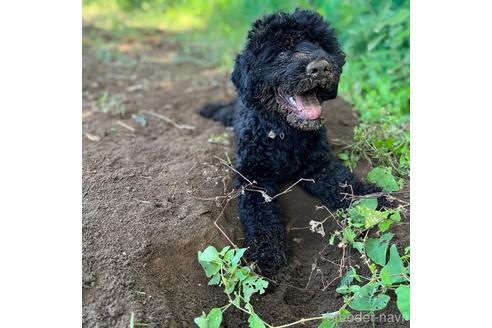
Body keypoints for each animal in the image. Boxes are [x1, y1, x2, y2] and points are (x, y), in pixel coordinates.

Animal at [201, 9, 384, 276]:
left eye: (320, 46)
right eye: (281, 53)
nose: (321, 67)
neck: (284, 134)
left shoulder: (320, 166)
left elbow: (345, 183)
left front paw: (375, 200)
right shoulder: (254, 176)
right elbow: (259, 214)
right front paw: (267, 253)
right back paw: (206, 109)